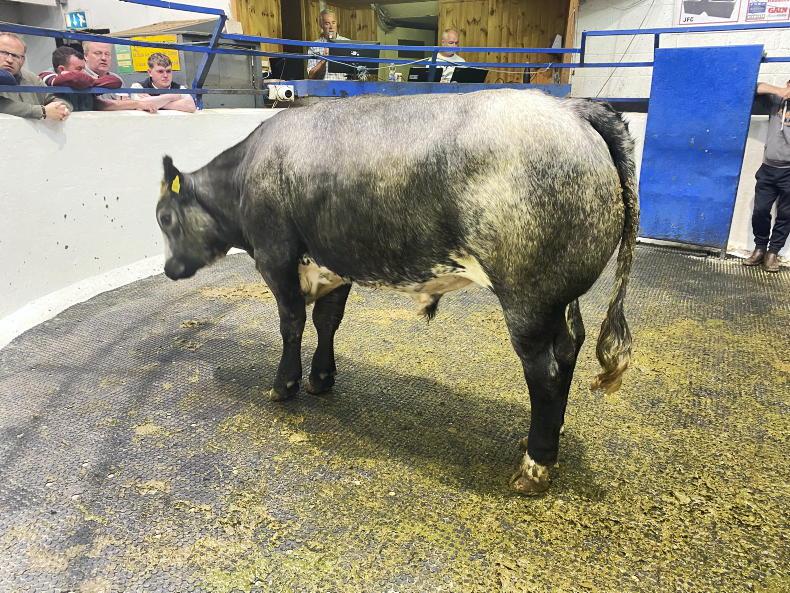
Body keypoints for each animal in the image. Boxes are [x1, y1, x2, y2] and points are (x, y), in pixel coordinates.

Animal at [156, 89, 638, 495]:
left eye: (164, 216)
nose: (169, 269)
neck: (245, 174)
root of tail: (572, 108)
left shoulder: (275, 255)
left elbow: (291, 323)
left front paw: (284, 385)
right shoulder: (335, 262)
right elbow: (327, 321)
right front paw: (321, 379)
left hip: (528, 297)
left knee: (547, 372)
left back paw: (534, 465)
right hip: (559, 296)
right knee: (570, 348)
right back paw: (545, 437)